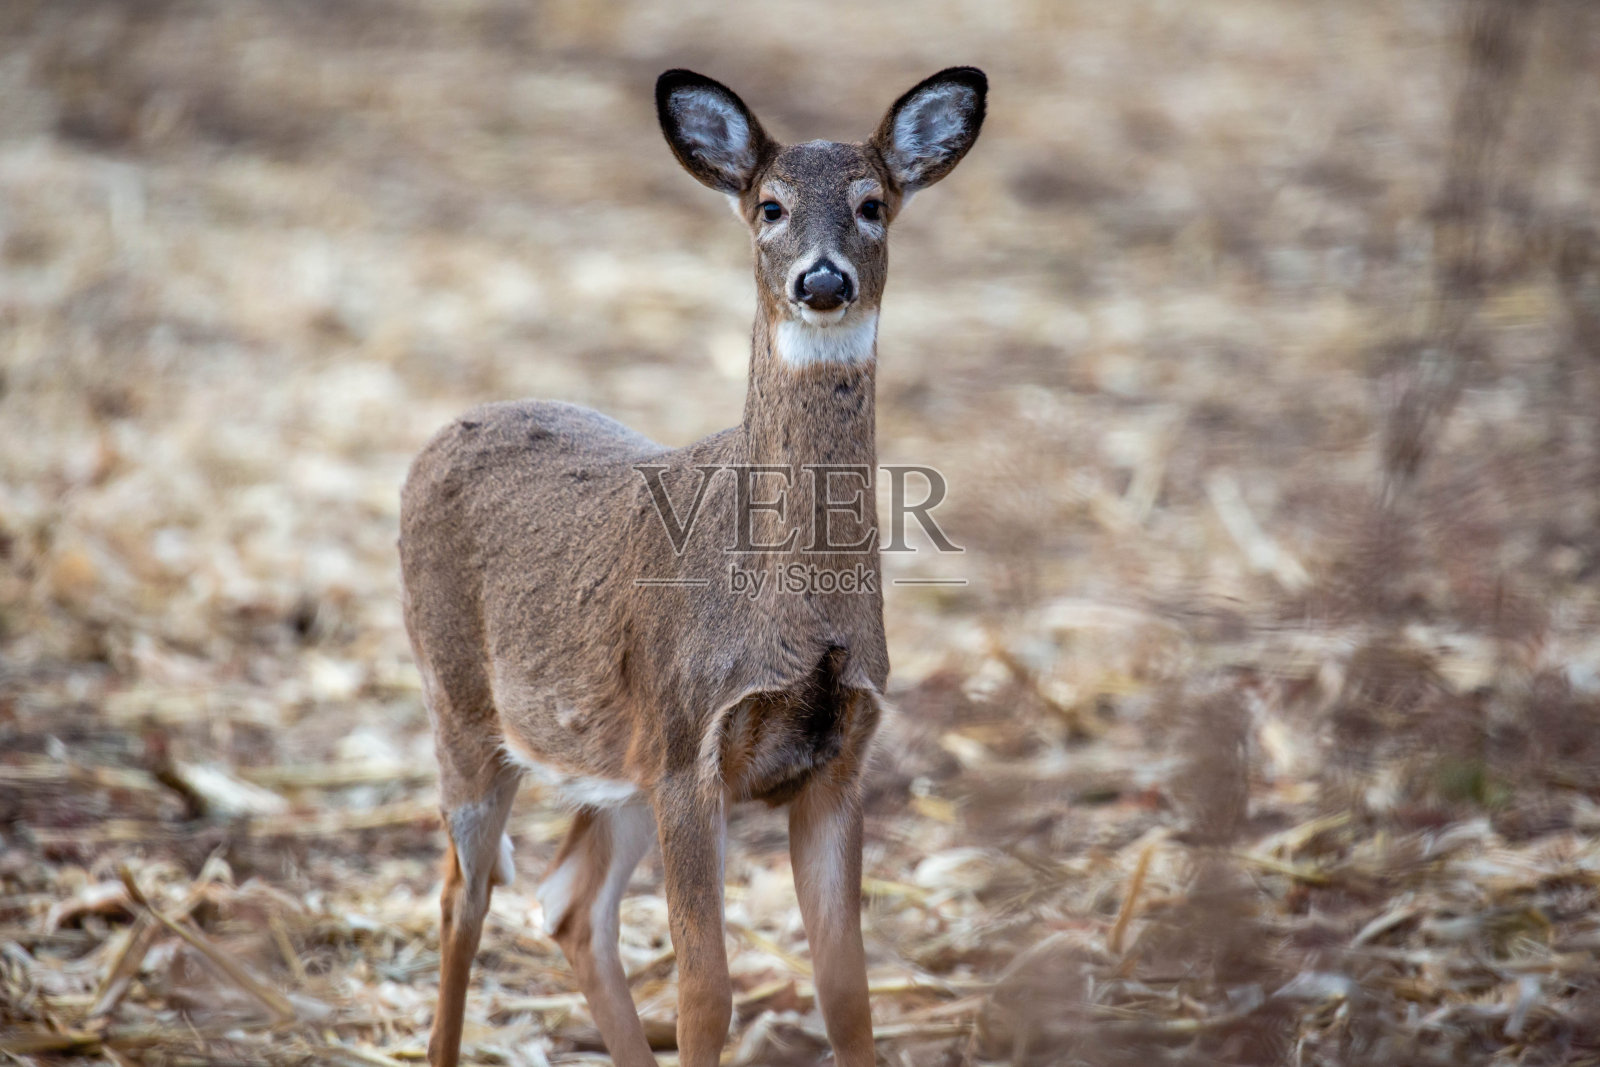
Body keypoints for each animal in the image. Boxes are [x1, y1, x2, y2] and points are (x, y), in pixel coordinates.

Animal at [398, 66, 986, 1067]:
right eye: (770, 206)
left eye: (872, 204)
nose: (821, 278)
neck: (798, 619)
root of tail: (440, 434)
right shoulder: (690, 744)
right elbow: (706, 993)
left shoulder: (838, 756)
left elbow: (849, 992)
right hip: (462, 703)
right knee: (461, 896)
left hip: (619, 758)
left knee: (567, 899)